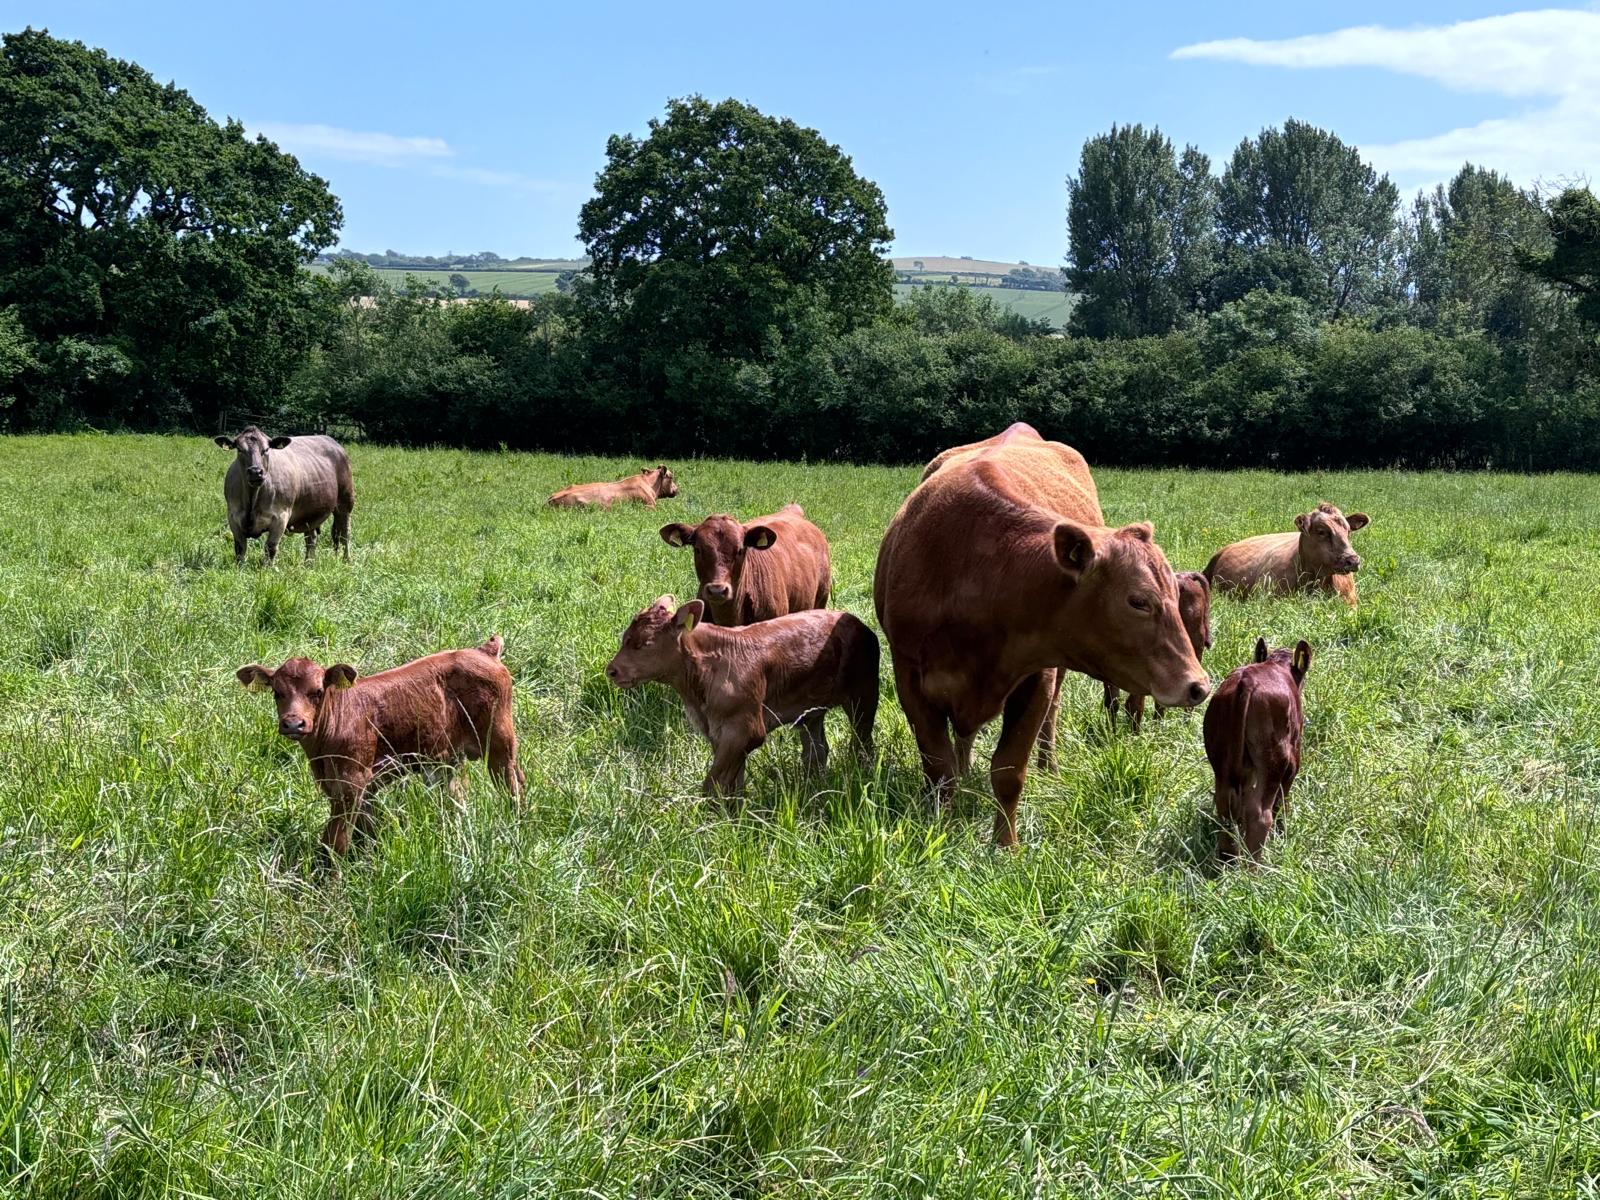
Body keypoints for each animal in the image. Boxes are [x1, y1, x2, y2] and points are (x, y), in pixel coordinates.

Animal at [215, 427, 354, 565]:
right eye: (239, 449)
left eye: (266, 449)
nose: (255, 472)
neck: (252, 498)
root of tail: (332, 441)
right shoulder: (233, 517)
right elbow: (240, 548)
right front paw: (240, 568)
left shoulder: (280, 517)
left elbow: (270, 547)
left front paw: (267, 568)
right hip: (311, 511)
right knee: (311, 539)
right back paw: (308, 563)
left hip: (345, 502)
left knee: (344, 534)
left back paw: (347, 560)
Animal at [237, 635, 523, 857]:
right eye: (277, 693)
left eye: (317, 692)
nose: (294, 723)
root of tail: (482, 651)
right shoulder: (347, 785)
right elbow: (364, 831)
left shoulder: (352, 781)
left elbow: (336, 842)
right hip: (448, 757)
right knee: (458, 798)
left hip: (500, 741)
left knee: (513, 784)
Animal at [605, 596, 878, 798]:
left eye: (644, 643)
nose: (612, 670)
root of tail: (857, 621)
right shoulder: (718, 731)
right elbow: (732, 783)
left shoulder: (746, 727)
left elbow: (713, 783)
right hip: (812, 710)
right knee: (816, 750)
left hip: (864, 693)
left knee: (862, 743)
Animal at [874, 422, 1209, 846]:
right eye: (1138, 601)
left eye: (1174, 596)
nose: (1198, 685)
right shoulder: (908, 676)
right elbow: (939, 767)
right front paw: (942, 826)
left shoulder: (1037, 675)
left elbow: (1009, 771)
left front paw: (1006, 846)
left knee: (1051, 719)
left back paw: (1049, 768)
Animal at [1203, 638, 1312, 864]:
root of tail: (1247, 681)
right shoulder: (1294, 761)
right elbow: (1282, 801)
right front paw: (1283, 834)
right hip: (1274, 763)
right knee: (1260, 816)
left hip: (1223, 765)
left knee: (1226, 809)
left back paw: (1227, 859)